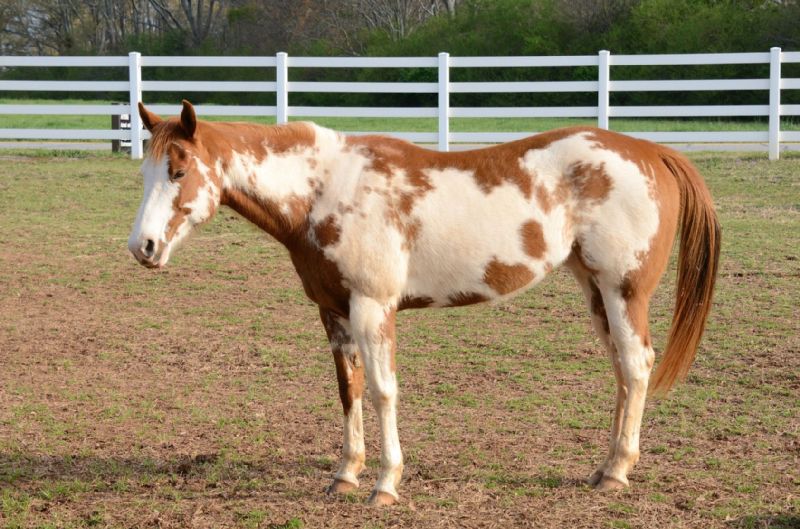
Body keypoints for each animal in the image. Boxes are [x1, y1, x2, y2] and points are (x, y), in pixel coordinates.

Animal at [130, 100, 720, 504]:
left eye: (178, 171)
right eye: (145, 171)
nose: (144, 246)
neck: (325, 192)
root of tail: (653, 152)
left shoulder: (373, 308)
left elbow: (383, 391)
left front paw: (385, 484)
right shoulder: (333, 312)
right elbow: (349, 391)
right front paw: (346, 475)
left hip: (623, 291)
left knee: (637, 365)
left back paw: (618, 471)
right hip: (596, 293)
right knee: (622, 369)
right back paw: (603, 468)